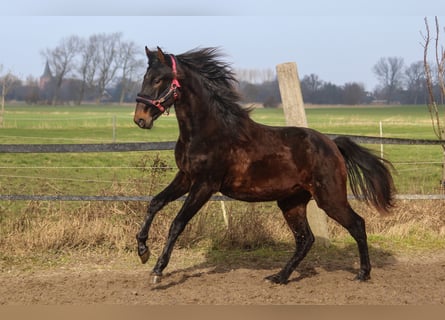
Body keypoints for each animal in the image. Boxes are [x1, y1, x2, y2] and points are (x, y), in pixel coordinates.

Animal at [131, 45, 392, 284]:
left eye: (158, 79)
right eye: (145, 77)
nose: (140, 119)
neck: (207, 132)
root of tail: (333, 145)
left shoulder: (205, 185)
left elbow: (177, 223)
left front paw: (157, 270)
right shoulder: (185, 177)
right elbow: (155, 203)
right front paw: (143, 251)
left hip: (330, 198)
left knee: (356, 225)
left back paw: (363, 273)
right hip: (292, 202)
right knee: (305, 239)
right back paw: (279, 277)